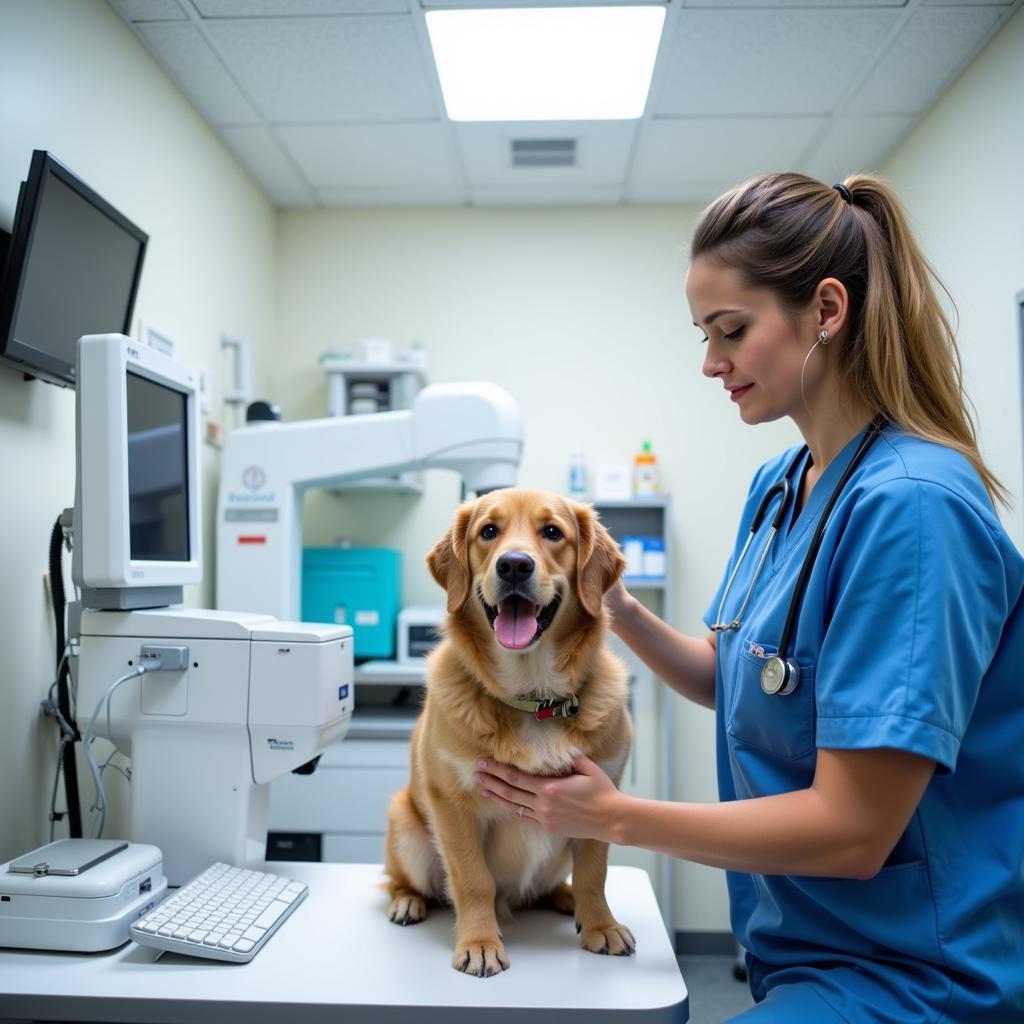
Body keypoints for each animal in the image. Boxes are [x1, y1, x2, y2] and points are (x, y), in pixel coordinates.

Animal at [385, 487, 634, 974]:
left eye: (552, 531)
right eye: (488, 531)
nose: (514, 565)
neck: (532, 697)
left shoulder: (599, 800)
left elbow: (594, 874)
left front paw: (601, 925)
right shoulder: (453, 804)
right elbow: (473, 880)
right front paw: (479, 942)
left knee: (552, 885)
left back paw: (565, 898)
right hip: (404, 824)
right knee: (401, 881)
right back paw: (407, 902)